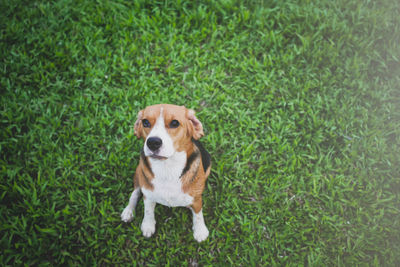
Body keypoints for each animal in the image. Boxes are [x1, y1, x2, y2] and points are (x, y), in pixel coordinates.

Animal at [120, 104, 211, 243]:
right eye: (145, 122)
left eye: (174, 123)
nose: (153, 142)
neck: (167, 168)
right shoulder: (148, 195)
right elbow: (148, 211)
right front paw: (148, 225)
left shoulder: (196, 198)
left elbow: (198, 214)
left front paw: (200, 230)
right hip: (139, 171)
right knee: (135, 192)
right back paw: (128, 211)